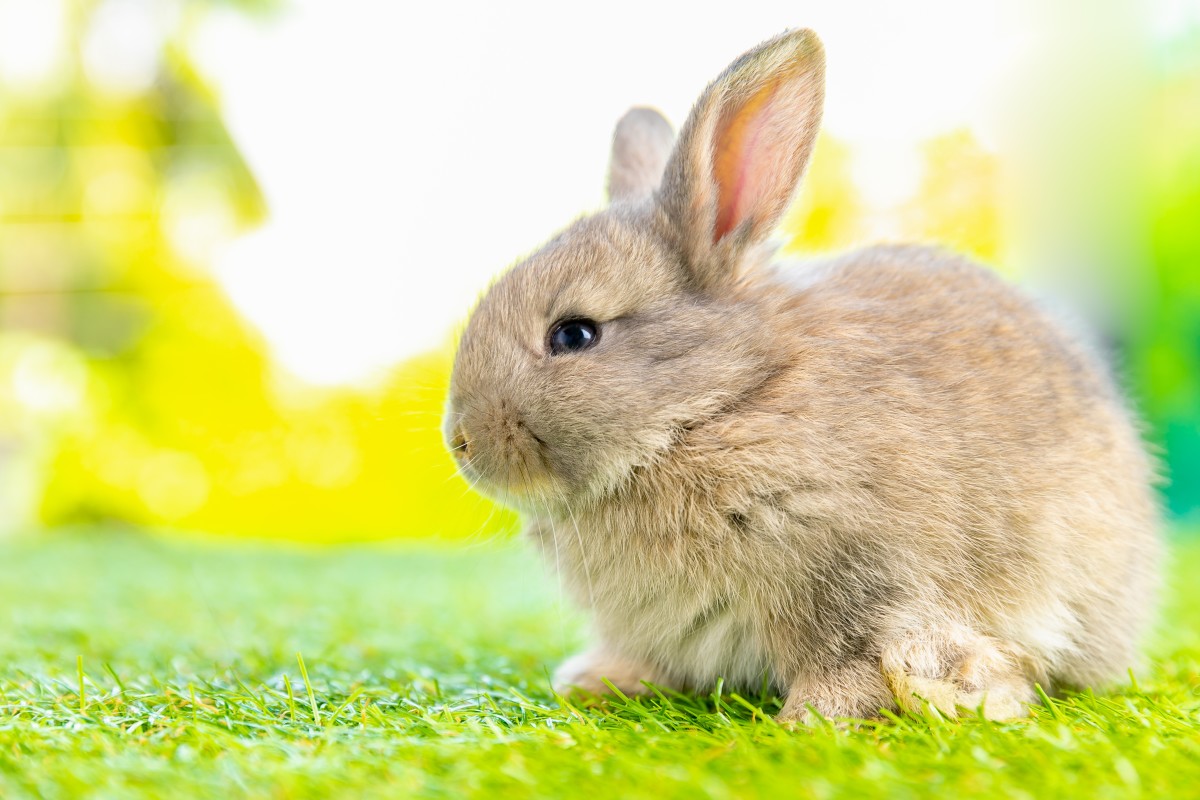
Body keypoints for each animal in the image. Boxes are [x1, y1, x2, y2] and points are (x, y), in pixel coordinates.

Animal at [444, 28, 1161, 724]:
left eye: (574, 334)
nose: (461, 444)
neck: (720, 404)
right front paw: (600, 681)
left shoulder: (854, 581)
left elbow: (847, 657)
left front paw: (810, 719)